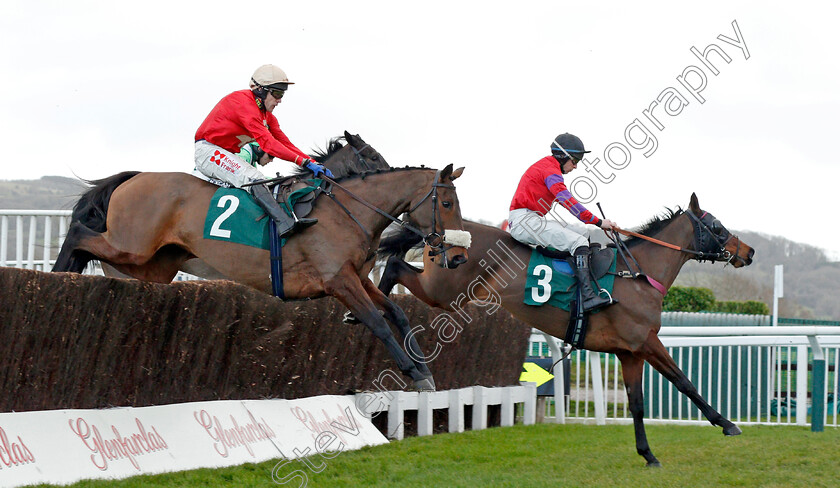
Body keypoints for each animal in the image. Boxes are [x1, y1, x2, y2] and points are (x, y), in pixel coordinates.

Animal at [52, 133, 472, 392]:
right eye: (447, 202)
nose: (458, 255)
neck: (342, 210)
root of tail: (134, 177)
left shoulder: (358, 276)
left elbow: (396, 314)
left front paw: (425, 369)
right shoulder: (339, 281)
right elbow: (378, 324)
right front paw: (414, 373)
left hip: (148, 265)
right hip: (131, 247)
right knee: (78, 233)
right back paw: (58, 278)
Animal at [374, 193, 756, 466]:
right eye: (717, 225)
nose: (749, 251)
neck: (638, 274)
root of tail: (440, 231)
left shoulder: (628, 353)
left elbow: (636, 404)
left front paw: (647, 454)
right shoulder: (647, 342)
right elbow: (685, 382)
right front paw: (727, 424)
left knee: (394, 263)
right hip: (445, 292)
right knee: (393, 264)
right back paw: (383, 313)